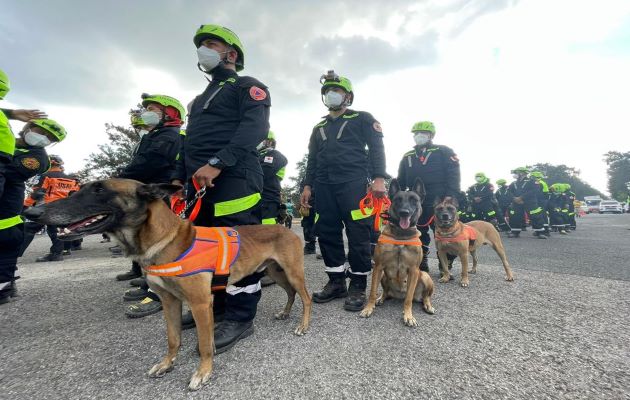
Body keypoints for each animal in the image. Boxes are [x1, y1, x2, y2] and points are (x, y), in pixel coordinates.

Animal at [23, 179, 312, 390]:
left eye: (99, 190)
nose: (32, 212)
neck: (166, 240)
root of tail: (285, 227)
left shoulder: (200, 303)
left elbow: (204, 344)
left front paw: (203, 372)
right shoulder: (169, 301)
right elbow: (173, 339)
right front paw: (166, 364)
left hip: (292, 273)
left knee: (305, 297)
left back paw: (302, 325)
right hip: (276, 273)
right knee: (291, 294)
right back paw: (286, 313)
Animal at [360, 180, 434, 326]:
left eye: (414, 200)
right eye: (398, 200)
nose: (404, 212)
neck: (402, 235)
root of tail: (399, 295)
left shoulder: (414, 270)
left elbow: (409, 299)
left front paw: (408, 316)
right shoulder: (378, 267)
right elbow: (372, 292)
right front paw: (368, 308)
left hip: (425, 276)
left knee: (425, 296)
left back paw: (428, 305)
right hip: (383, 276)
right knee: (386, 292)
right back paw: (380, 299)